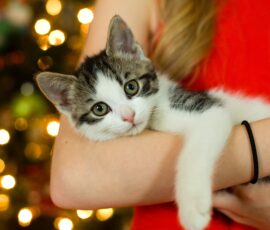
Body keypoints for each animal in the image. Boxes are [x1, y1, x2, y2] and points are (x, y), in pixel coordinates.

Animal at [35, 15, 270, 229]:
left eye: (131, 86)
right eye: (99, 109)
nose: (129, 116)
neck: (155, 116)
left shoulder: (211, 111)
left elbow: (195, 150)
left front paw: (192, 209)